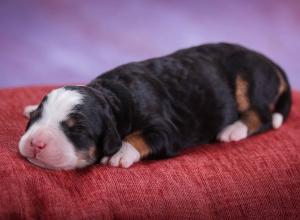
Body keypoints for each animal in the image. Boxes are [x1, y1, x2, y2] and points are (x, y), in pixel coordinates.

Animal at [17, 43, 292, 170]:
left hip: (249, 79)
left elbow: (142, 136)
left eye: (77, 130)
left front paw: (120, 152)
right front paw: (29, 106)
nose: (36, 143)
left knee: (264, 116)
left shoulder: (167, 130)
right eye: (37, 117)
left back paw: (233, 130)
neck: (116, 95)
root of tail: (270, 62)